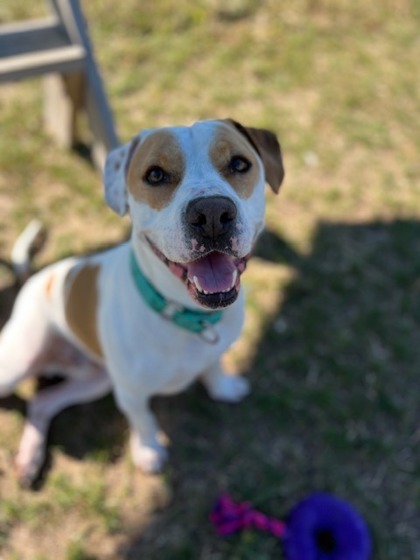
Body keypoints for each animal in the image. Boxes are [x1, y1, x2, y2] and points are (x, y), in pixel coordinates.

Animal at [0, 119, 286, 486]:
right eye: (155, 175)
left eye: (239, 164)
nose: (211, 213)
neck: (186, 316)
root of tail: (35, 277)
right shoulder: (131, 394)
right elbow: (144, 420)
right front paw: (148, 451)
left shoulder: (213, 349)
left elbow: (213, 366)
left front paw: (223, 387)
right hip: (17, 364)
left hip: (96, 380)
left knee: (42, 402)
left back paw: (30, 457)